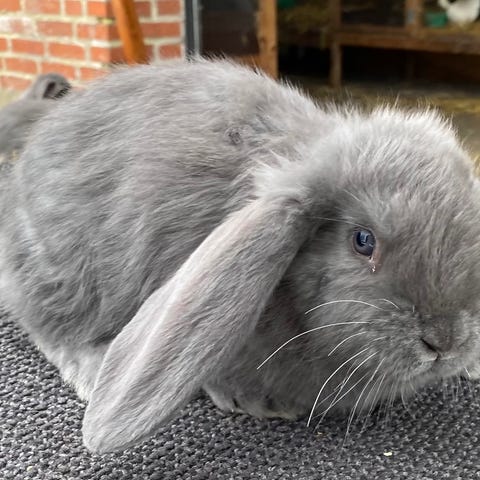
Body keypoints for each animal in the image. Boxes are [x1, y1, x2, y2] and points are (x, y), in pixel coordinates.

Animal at [2, 59, 480, 454]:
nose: (444, 342)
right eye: (363, 241)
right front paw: (256, 402)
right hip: (62, 274)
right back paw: (92, 366)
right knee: (47, 326)